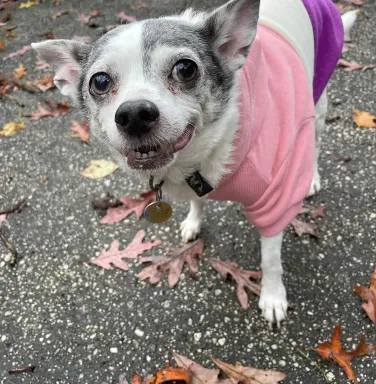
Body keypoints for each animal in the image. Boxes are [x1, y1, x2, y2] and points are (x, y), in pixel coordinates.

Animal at [32, 0, 344, 326]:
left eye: (185, 68)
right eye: (100, 82)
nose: (134, 114)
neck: (196, 159)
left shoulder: (275, 200)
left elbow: (270, 258)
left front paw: (272, 296)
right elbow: (197, 201)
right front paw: (194, 222)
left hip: (318, 101)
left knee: (316, 142)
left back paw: (312, 179)